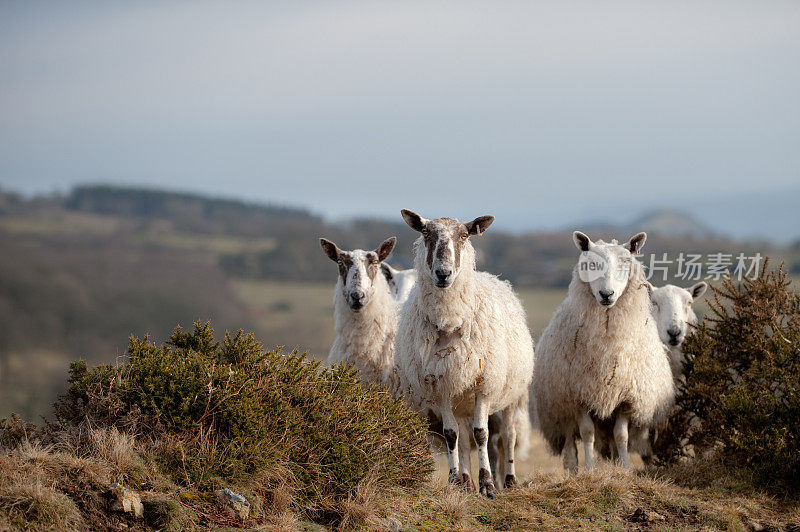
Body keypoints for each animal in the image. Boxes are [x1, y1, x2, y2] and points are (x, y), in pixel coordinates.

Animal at [392, 209, 536, 498]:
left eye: (464, 235)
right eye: (426, 233)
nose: (443, 273)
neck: (449, 322)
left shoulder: (484, 385)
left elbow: (482, 434)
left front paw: (488, 485)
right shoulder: (440, 387)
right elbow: (452, 436)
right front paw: (455, 481)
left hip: (512, 395)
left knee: (508, 436)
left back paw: (510, 480)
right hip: (460, 395)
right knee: (464, 439)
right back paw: (467, 481)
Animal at [536, 231, 672, 472]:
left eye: (625, 263)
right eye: (591, 264)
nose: (606, 294)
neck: (606, 345)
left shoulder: (627, 398)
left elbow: (621, 436)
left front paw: (625, 468)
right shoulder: (578, 395)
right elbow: (587, 433)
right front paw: (590, 469)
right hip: (560, 407)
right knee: (570, 440)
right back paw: (573, 469)